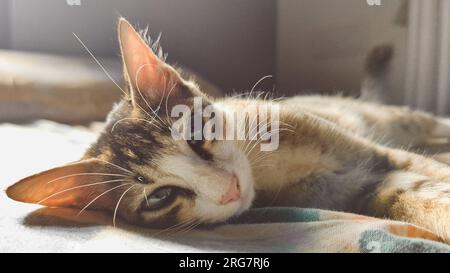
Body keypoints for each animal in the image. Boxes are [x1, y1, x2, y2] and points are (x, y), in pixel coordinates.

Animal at [5, 17, 450, 242]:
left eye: (195, 136)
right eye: (159, 197)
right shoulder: (363, 187)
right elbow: (417, 197)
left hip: (403, 120)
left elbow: (434, 175)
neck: (268, 168)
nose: (230, 189)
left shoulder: (378, 155)